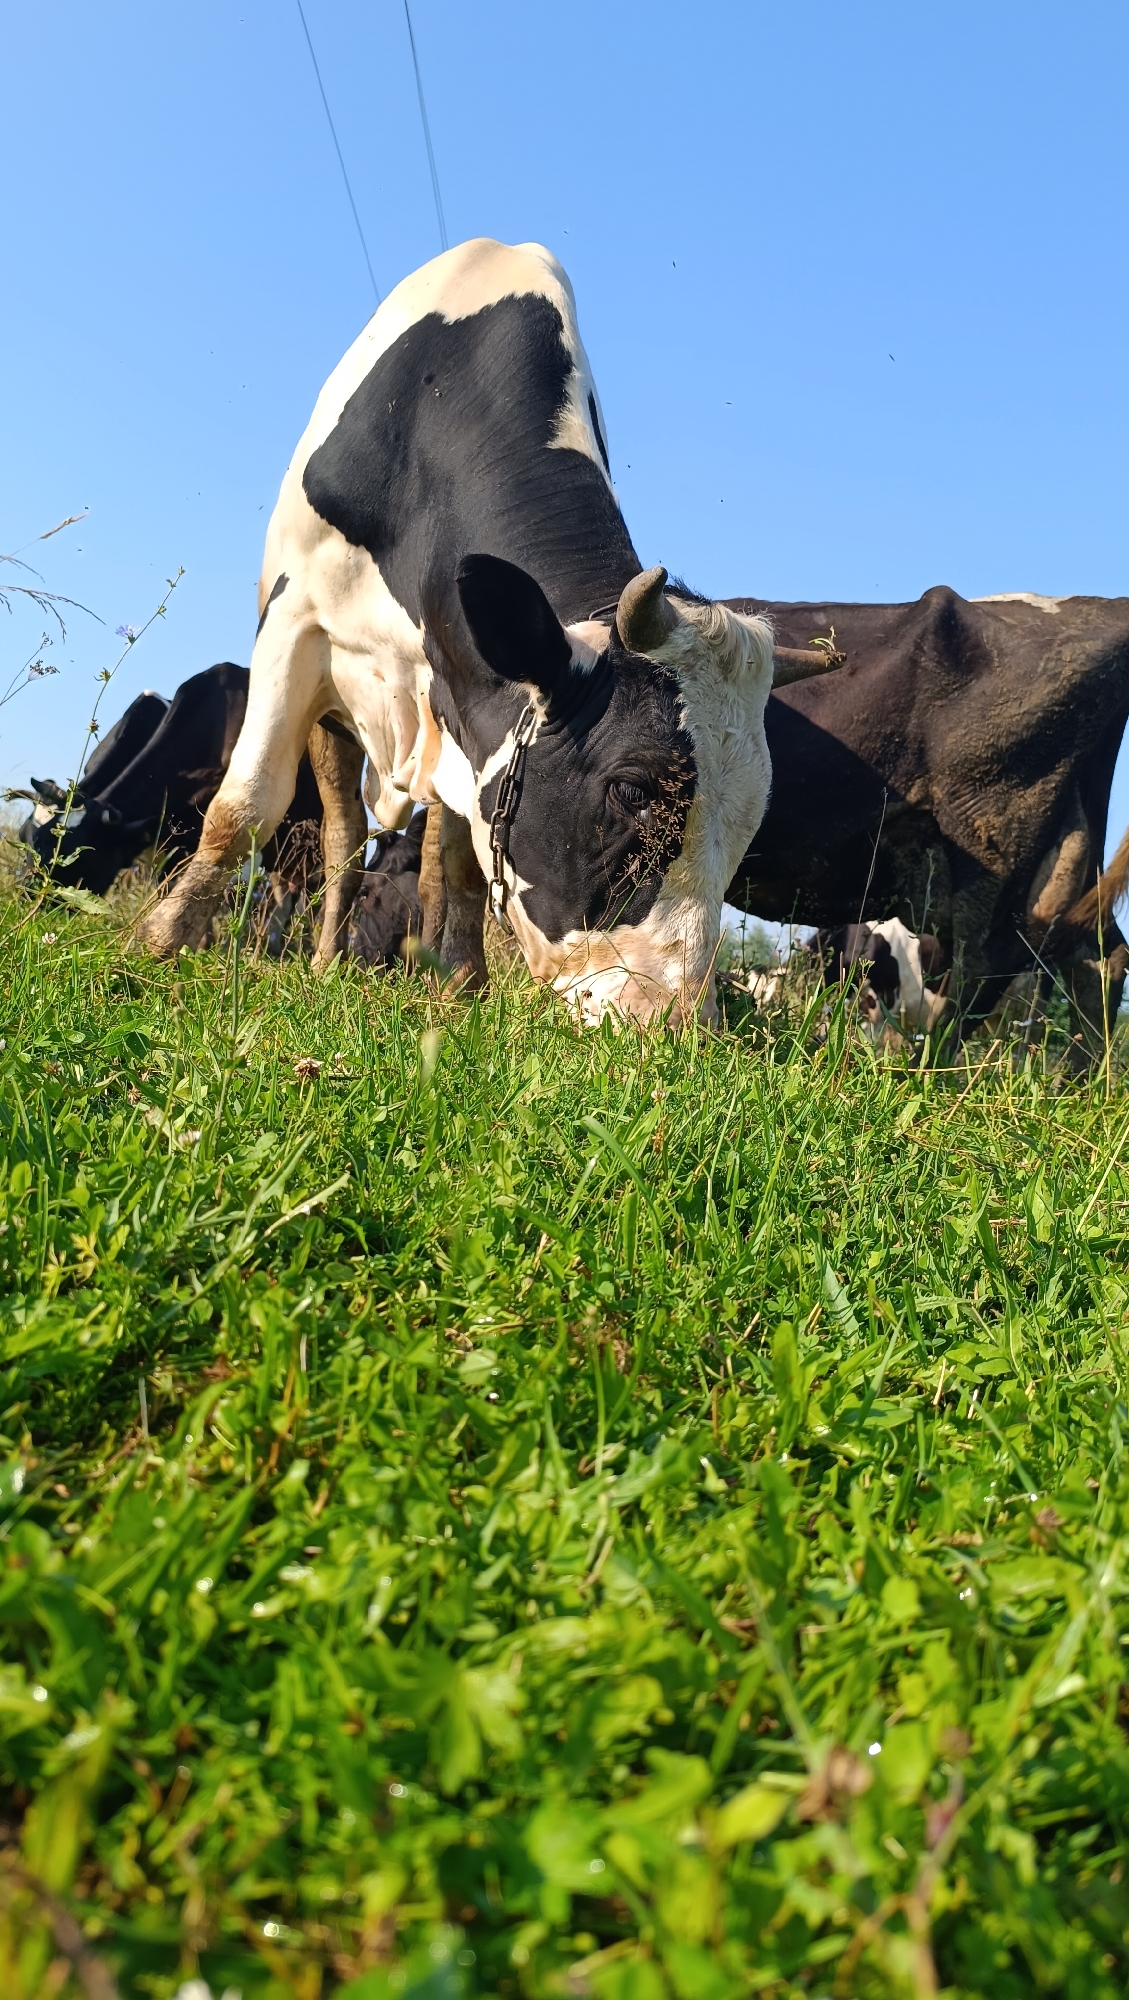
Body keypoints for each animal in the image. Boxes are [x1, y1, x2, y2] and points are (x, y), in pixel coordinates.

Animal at [136, 238, 831, 1024]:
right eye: (633, 791)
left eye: (751, 819)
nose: (678, 1022)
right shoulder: (294, 621)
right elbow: (245, 806)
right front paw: (161, 941)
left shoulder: (472, 702)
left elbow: (463, 861)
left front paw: (462, 983)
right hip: (332, 718)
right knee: (342, 840)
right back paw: (323, 960)